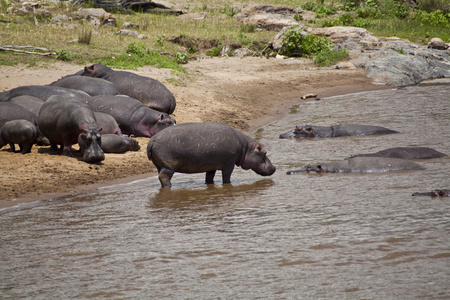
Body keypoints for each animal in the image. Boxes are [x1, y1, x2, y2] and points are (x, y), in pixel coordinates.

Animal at [148, 122, 276, 188]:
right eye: (264, 152)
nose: (274, 167)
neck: (245, 147)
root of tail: (152, 140)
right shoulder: (229, 164)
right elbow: (226, 177)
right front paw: (228, 184)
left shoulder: (211, 166)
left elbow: (209, 177)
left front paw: (209, 184)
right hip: (168, 166)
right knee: (163, 176)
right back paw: (169, 186)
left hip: (159, 165)